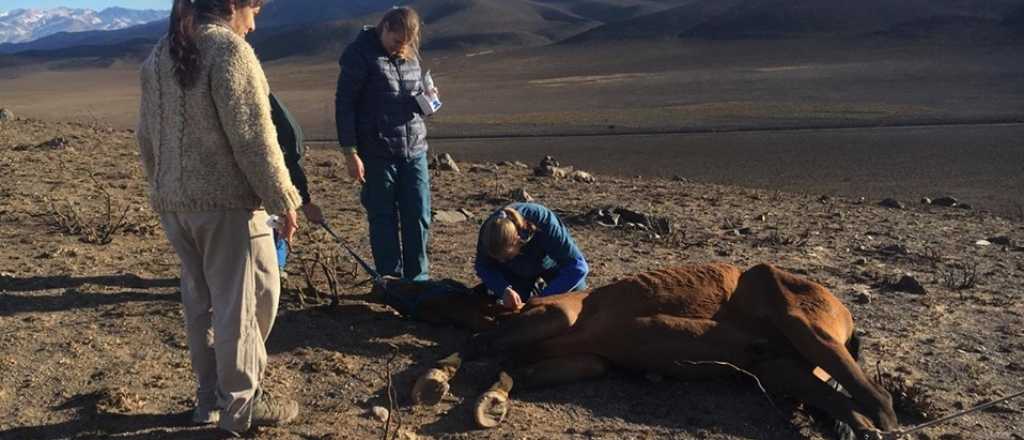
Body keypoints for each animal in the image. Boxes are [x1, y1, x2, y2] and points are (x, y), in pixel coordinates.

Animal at [403, 261, 901, 433]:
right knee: (853, 410)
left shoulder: (557, 316)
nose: (395, 287)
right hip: (783, 368)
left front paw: (438, 380)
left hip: (806, 331)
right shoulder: (584, 359)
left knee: (879, 403)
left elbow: (482, 344)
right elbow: (506, 365)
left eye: (443, 292)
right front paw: (487, 400)